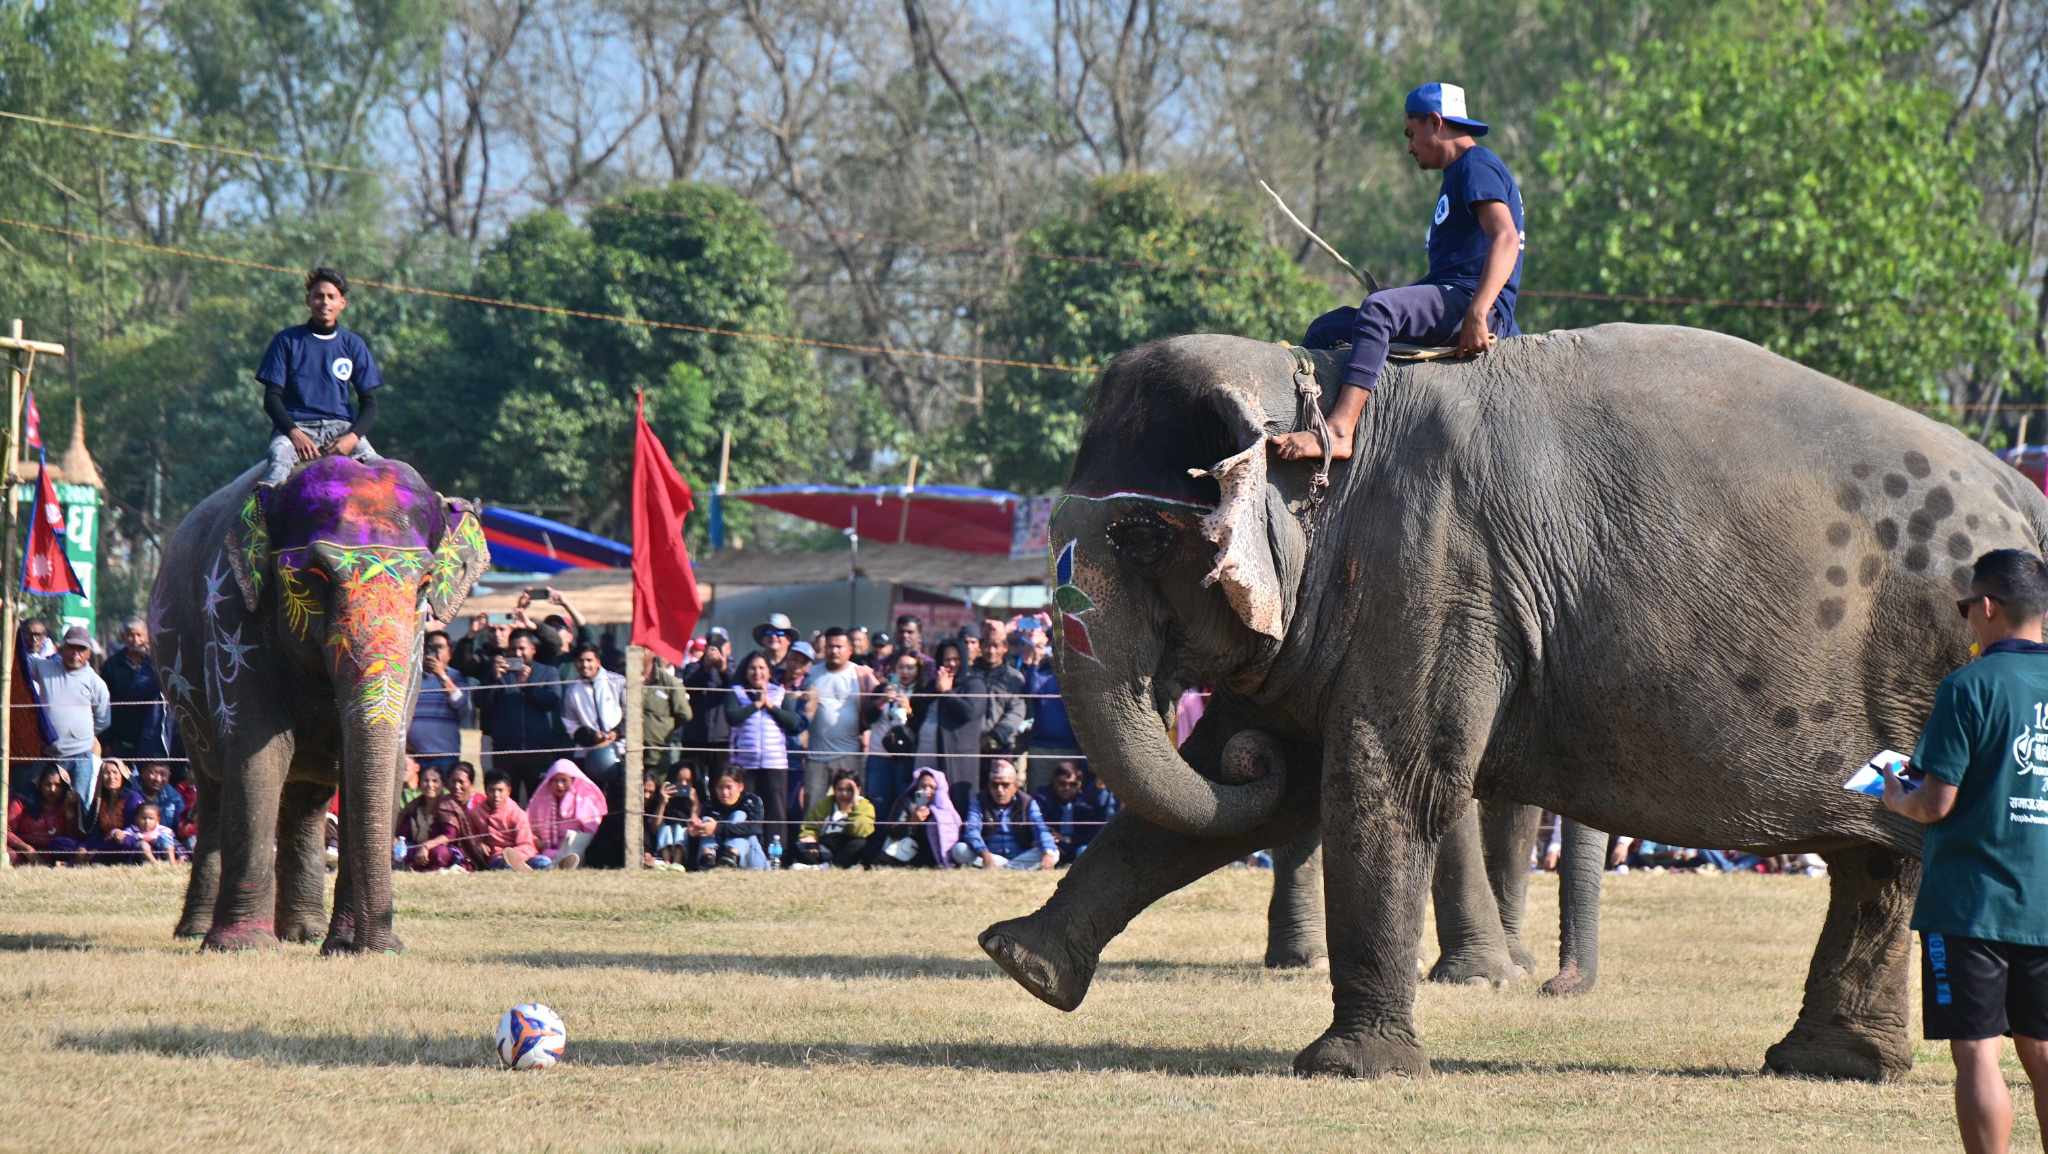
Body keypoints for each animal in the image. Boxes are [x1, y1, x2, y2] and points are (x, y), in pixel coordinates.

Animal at [151, 459, 487, 959]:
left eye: (425, 583)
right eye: (317, 576)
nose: (382, 947)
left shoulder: (414, 647)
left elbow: (379, 761)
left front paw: (346, 947)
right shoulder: (231, 613)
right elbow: (257, 753)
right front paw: (243, 947)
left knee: (306, 800)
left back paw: (304, 933)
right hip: (180, 684)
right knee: (212, 788)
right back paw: (197, 933)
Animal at [978, 325, 2031, 1082]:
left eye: (1142, 537)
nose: (1559, 993)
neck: (1325, 393)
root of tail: (2024, 494)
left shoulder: (1437, 569)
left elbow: (1382, 782)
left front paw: (1350, 1070)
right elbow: (1258, 791)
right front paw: (1023, 965)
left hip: (1939, 660)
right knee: (1876, 864)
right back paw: (1828, 1067)